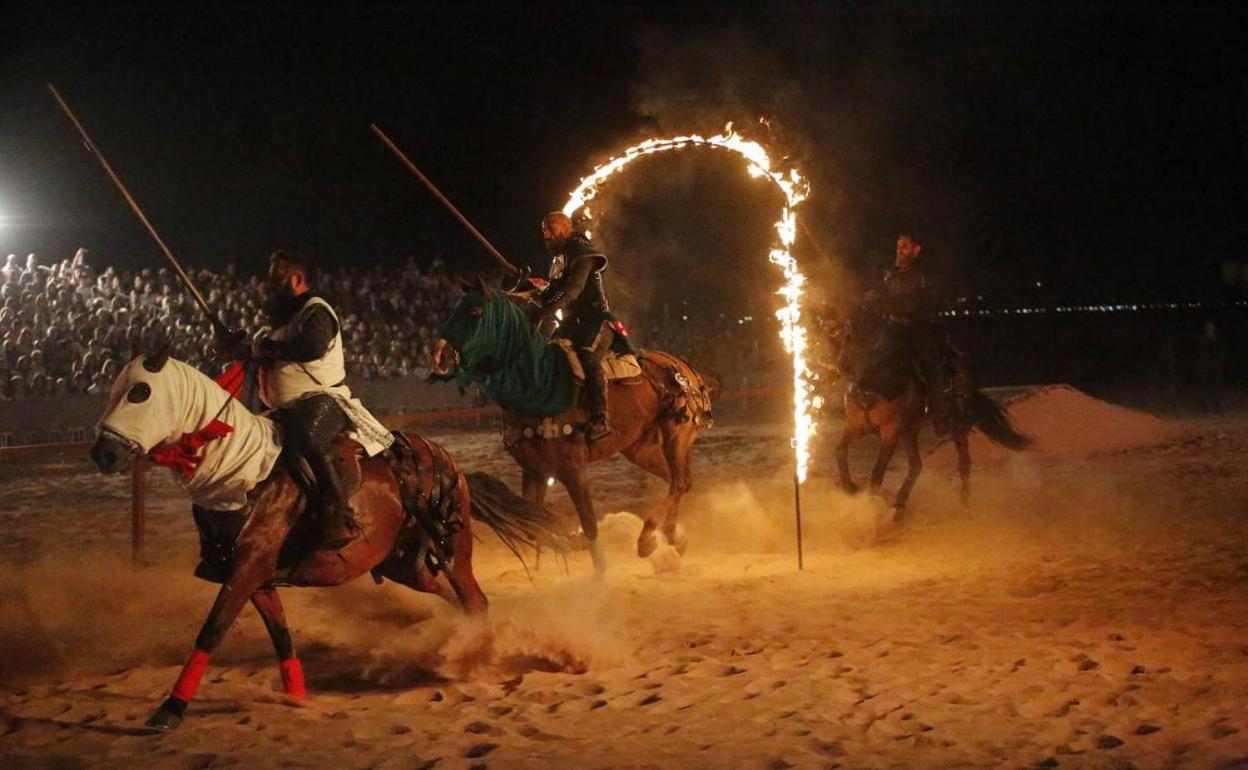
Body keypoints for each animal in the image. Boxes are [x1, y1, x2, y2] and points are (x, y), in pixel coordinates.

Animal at [92, 351, 566, 728]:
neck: (244, 470)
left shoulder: (246, 570)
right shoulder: (257, 579)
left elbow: (210, 632)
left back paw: (479, 655)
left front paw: (169, 709)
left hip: (454, 548)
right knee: (452, 598)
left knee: (474, 598)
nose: (103, 454)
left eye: (139, 392)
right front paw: (297, 697)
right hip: (402, 564)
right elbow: (282, 637)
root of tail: (448, 462)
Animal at [431, 279, 713, 574]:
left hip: (675, 435)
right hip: (639, 448)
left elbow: (588, 523)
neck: (539, 385)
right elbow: (535, 526)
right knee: (676, 481)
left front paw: (598, 570)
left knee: (680, 482)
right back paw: (674, 538)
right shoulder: (535, 472)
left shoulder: (573, 469)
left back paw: (647, 539)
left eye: (475, 310)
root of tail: (687, 371)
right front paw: (565, 547)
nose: (439, 354)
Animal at [823, 300, 1028, 516]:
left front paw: (871, 506)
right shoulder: (855, 425)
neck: (875, 383)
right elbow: (840, 452)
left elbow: (877, 471)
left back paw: (964, 504)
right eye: (844, 335)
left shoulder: (890, 432)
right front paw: (849, 487)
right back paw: (899, 505)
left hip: (957, 426)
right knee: (916, 465)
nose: (836, 366)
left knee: (963, 463)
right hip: (910, 431)